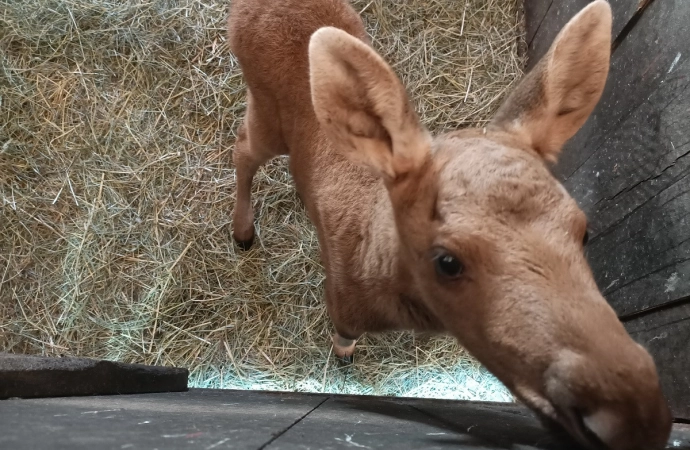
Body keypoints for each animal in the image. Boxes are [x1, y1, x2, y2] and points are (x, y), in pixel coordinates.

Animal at [228, 0, 668, 448]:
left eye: (584, 231)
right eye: (447, 262)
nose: (635, 416)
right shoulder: (341, 301)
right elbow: (344, 338)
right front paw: (343, 360)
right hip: (265, 110)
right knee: (242, 147)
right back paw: (242, 232)